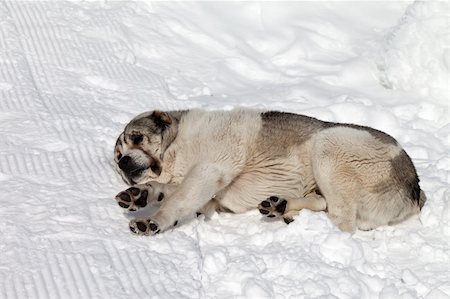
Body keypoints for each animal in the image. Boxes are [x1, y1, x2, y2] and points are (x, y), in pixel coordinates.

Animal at [112, 109, 426, 236]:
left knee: (343, 222)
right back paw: (281, 207)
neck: (178, 147)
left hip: (329, 143)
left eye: (137, 138)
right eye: (117, 157)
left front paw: (152, 220)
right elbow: (172, 193)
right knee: (322, 203)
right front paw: (140, 194)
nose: (123, 163)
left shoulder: (208, 170)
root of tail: (416, 190)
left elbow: (178, 199)